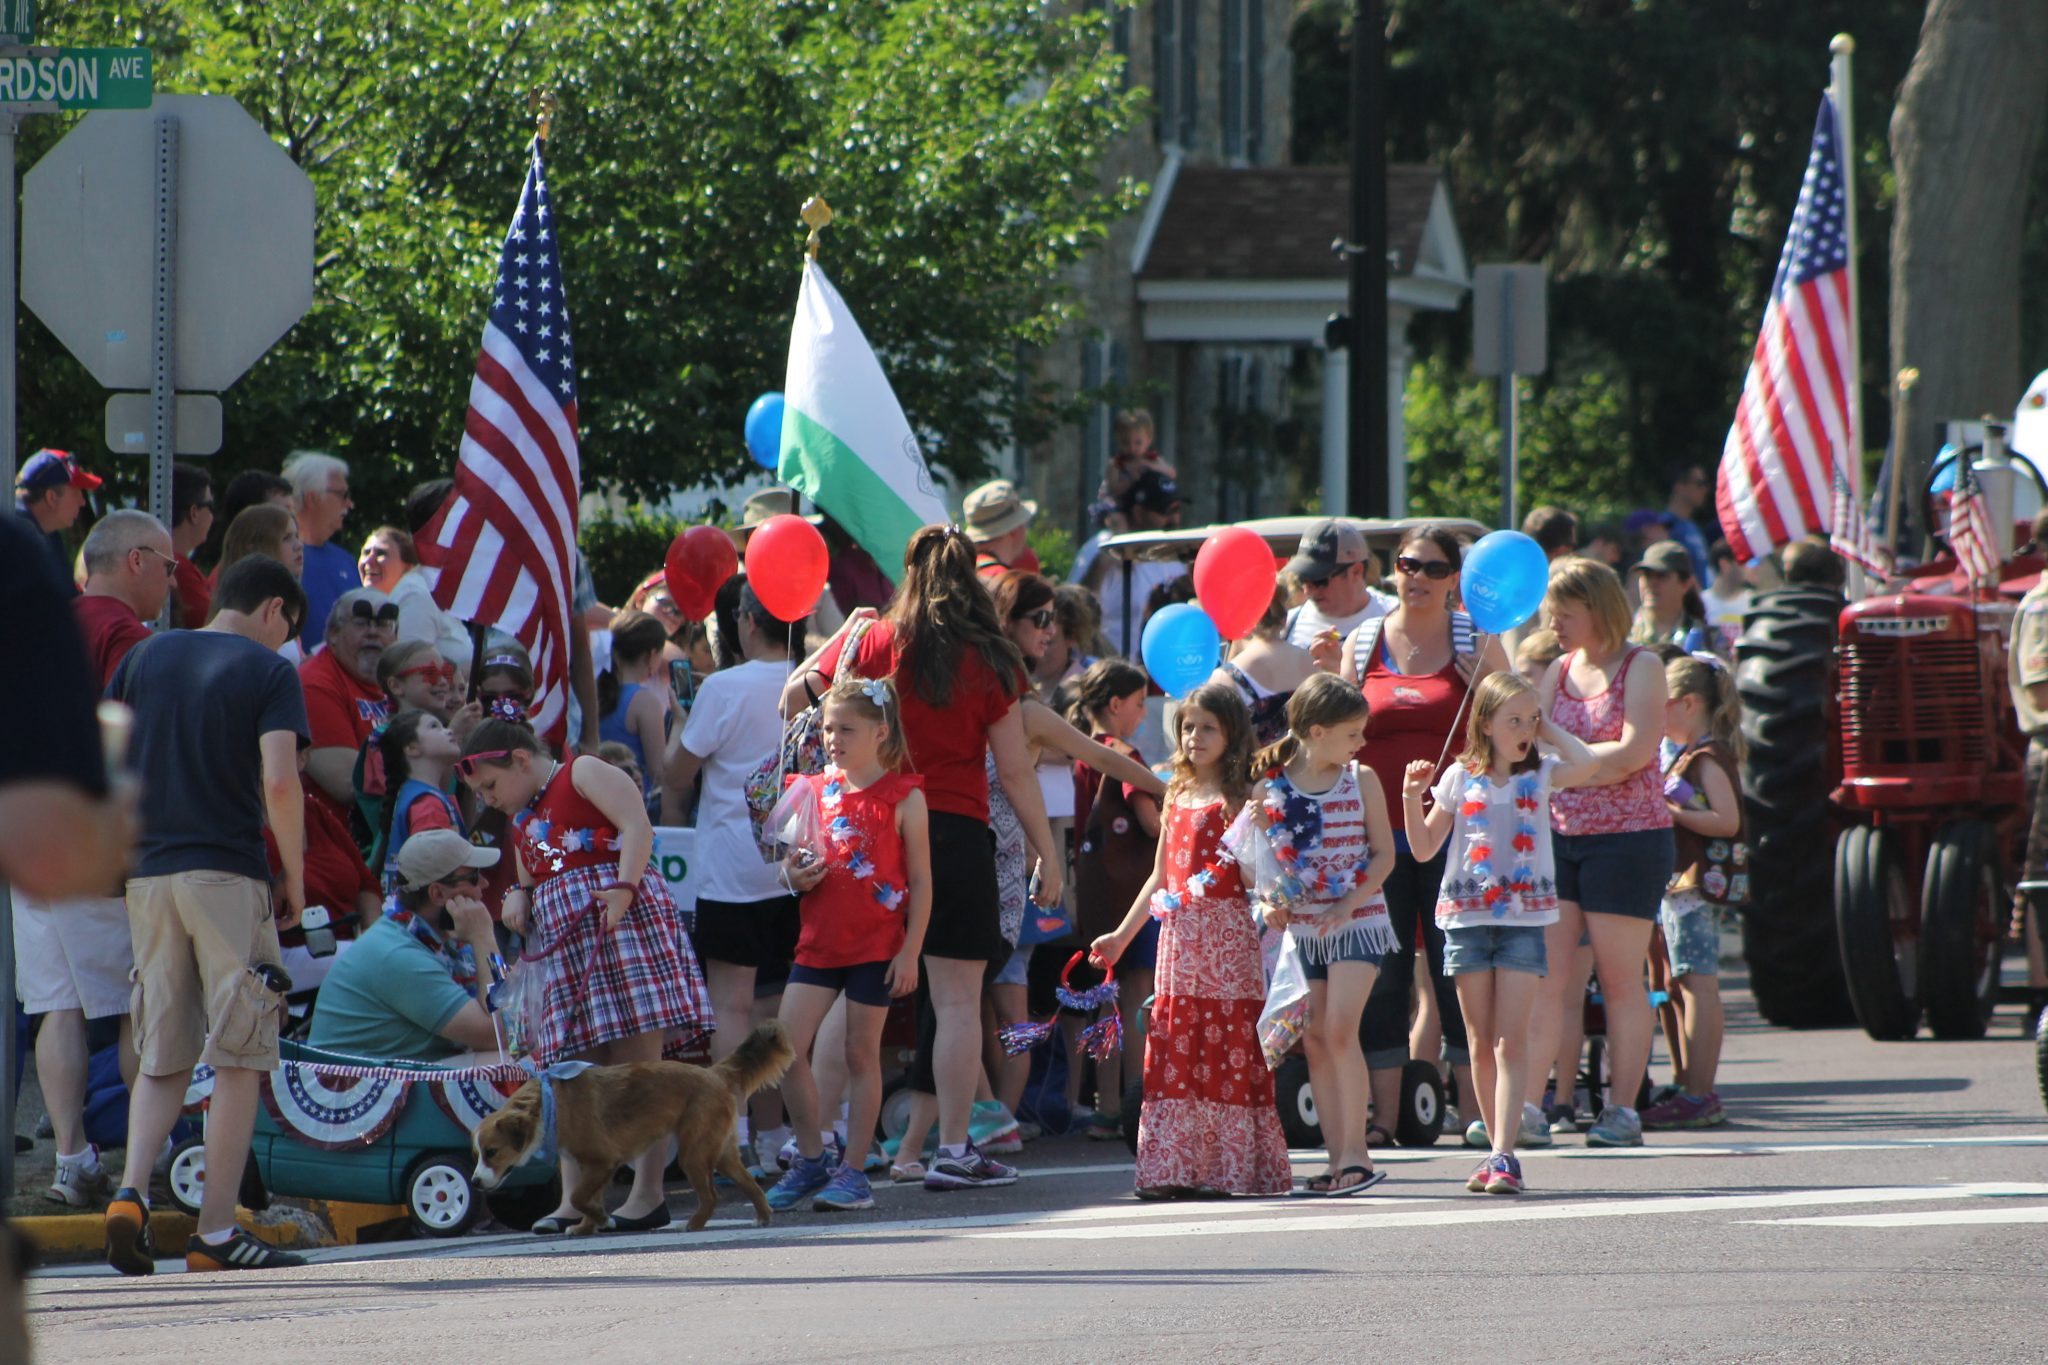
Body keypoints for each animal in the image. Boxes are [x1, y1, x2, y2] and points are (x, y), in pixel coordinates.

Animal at [472, 1019, 795, 1235]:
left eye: (492, 1152)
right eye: (478, 1154)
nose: (474, 1182)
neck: (548, 1103)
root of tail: (714, 1073)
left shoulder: (603, 1162)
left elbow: (578, 1197)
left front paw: (601, 1219)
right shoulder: (594, 1167)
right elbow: (585, 1198)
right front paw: (586, 1226)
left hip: (693, 1153)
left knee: (712, 1196)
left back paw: (693, 1224)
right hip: (721, 1152)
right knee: (751, 1184)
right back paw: (763, 1216)